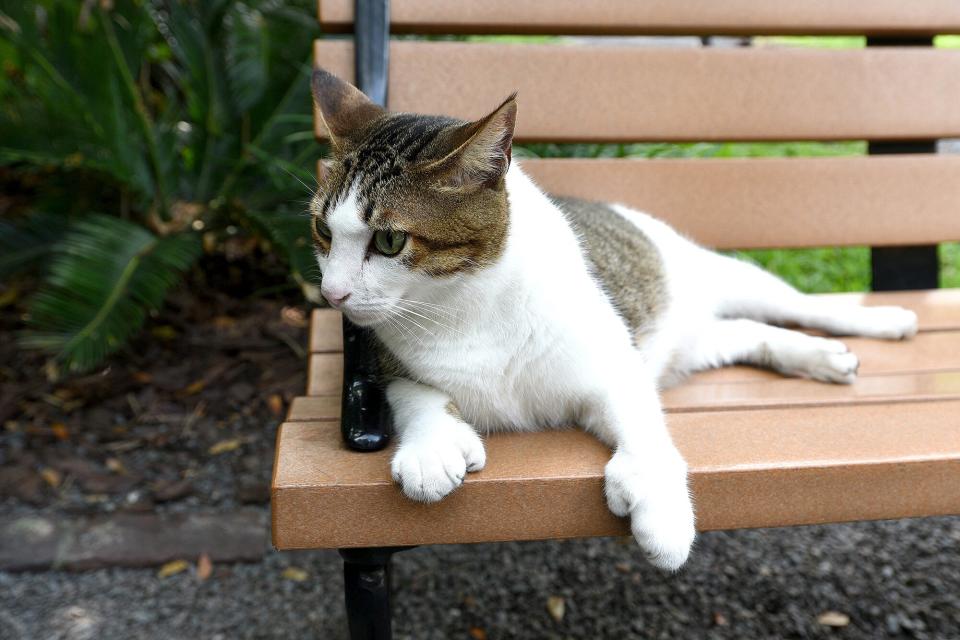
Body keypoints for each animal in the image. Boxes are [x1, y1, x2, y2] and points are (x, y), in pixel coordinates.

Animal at [312, 69, 920, 568]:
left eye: (390, 241)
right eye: (322, 230)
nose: (332, 293)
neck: (462, 305)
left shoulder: (612, 363)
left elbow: (643, 427)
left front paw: (664, 517)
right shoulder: (380, 358)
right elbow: (414, 392)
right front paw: (432, 448)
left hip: (722, 276)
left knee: (796, 305)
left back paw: (877, 323)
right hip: (694, 341)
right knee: (745, 332)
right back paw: (814, 355)